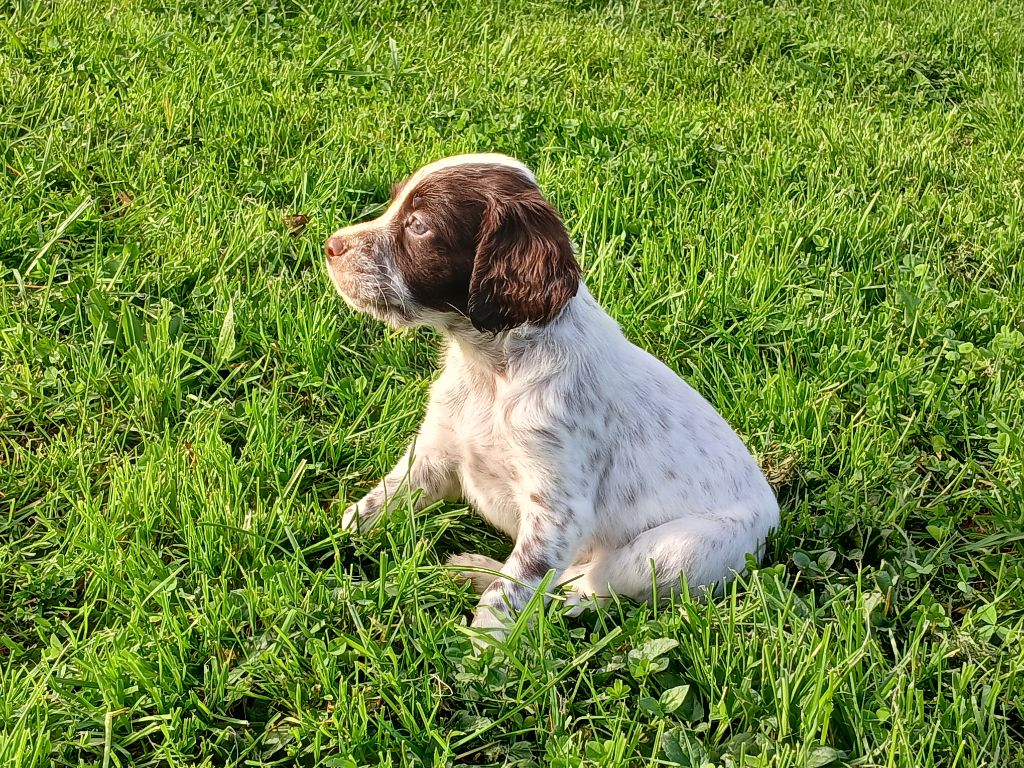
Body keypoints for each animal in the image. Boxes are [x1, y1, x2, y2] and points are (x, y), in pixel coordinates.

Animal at [323, 154, 778, 638]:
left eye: (419, 226)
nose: (330, 246)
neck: (491, 371)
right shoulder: (436, 454)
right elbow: (384, 498)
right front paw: (331, 536)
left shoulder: (557, 509)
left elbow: (514, 588)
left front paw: (484, 648)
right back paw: (474, 569)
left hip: (676, 550)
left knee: (583, 589)